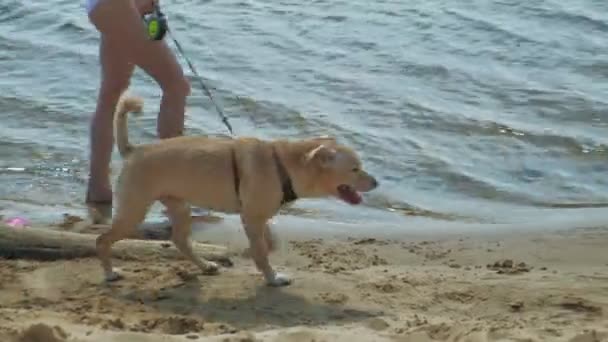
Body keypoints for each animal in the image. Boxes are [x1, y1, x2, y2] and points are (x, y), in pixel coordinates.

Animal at [97, 94, 378, 286]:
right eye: (355, 169)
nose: (377, 183)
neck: (284, 165)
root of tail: (133, 150)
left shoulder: (257, 217)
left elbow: (267, 244)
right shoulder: (252, 217)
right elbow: (262, 252)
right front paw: (272, 278)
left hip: (179, 205)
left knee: (180, 241)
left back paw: (206, 265)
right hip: (134, 210)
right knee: (102, 240)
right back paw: (110, 273)